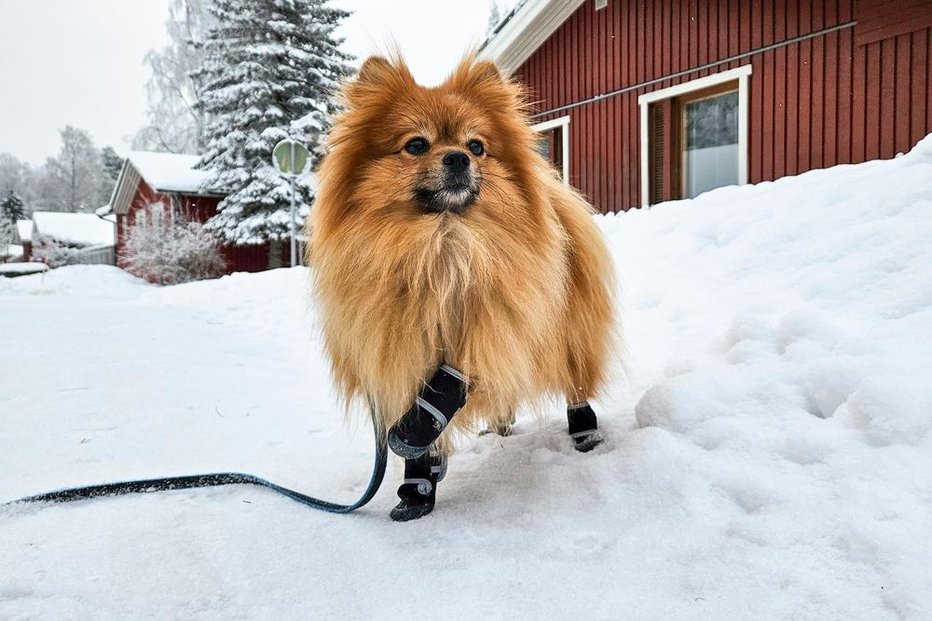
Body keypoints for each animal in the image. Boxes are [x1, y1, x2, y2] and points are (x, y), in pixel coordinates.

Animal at [308, 54, 620, 520]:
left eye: (476, 146)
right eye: (416, 145)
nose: (457, 158)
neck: (443, 247)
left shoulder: (496, 324)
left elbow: (450, 380)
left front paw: (420, 431)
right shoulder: (396, 351)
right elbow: (418, 426)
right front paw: (416, 488)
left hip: (571, 340)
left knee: (575, 385)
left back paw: (585, 434)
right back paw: (500, 425)